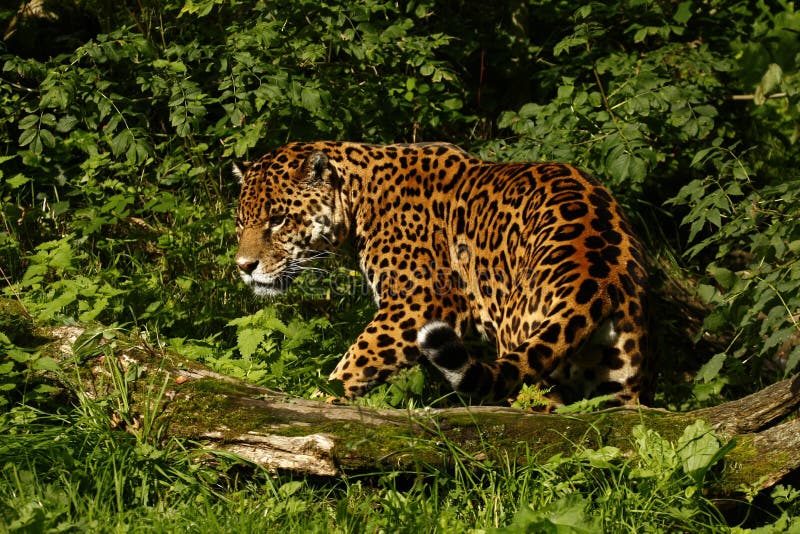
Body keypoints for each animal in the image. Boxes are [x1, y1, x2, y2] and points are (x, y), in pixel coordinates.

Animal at [234, 141, 649, 409]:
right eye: (241, 222)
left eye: (278, 219)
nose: (244, 267)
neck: (357, 197)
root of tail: (597, 278)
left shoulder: (422, 300)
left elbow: (357, 359)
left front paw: (318, 400)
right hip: (617, 383)